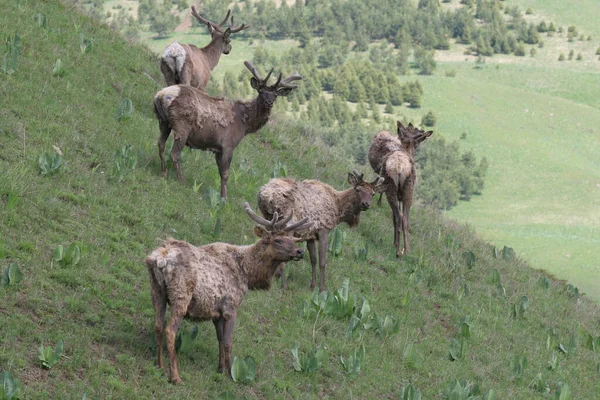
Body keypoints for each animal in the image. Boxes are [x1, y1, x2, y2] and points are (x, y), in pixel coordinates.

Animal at [146, 203, 312, 384]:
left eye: (292, 239)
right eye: (278, 240)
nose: (300, 252)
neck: (248, 275)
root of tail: (159, 259)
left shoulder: (216, 311)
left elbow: (219, 338)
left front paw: (220, 369)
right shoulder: (230, 306)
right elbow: (228, 342)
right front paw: (229, 373)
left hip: (157, 292)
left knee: (158, 325)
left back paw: (160, 366)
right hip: (181, 295)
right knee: (170, 330)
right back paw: (175, 376)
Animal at [152, 61, 302, 198]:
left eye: (275, 95)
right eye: (261, 92)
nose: (268, 102)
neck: (245, 125)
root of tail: (160, 95)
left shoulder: (217, 148)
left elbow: (220, 171)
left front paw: (221, 194)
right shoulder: (228, 145)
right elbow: (225, 173)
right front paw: (224, 198)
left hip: (163, 122)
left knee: (160, 144)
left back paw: (164, 173)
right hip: (182, 125)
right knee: (175, 153)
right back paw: (181, 181)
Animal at [256, 170, 384, 292]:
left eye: (373, 194)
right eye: (358, 190)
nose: (366, 204)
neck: (338, 209)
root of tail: (265, 194)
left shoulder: (311, 235)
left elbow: (313, 259)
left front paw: (312, 285)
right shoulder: (324, 229)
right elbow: (322, 262)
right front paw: (322, 288)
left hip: (268, 218)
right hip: (287, 223)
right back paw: (283, 285)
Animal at [368, 122, 434, 258]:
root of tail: (399, 167)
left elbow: (394, 218)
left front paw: (394, 243)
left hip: (393, 188)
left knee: (399, 217)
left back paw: (399, 250)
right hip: (407, 190)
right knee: (404, 219)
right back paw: (405, 250)